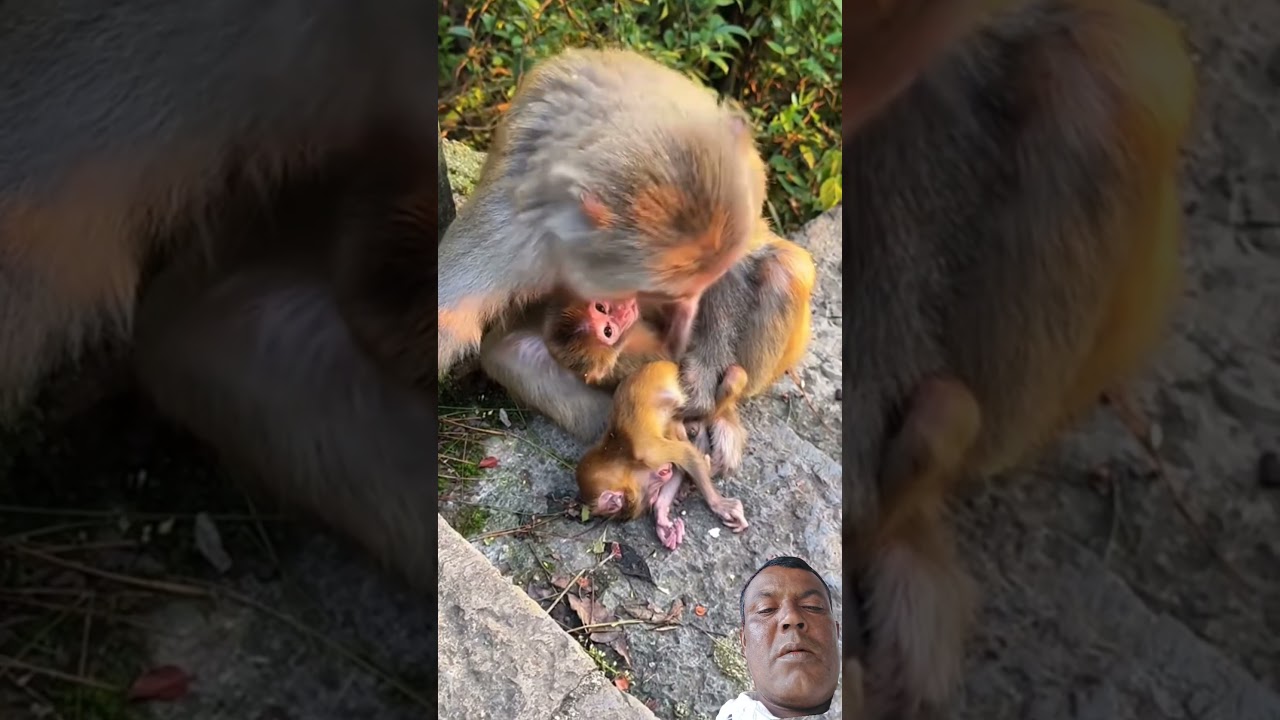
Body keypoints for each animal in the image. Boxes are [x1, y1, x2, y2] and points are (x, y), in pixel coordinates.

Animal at [575, 360, 749, 550]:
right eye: (652, 495)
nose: (654, 497)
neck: (622, 450)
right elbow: (680, 464)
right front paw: (662, 520)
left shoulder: (649, 450)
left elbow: (687, 455)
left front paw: (718, 504)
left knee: (727, 383)